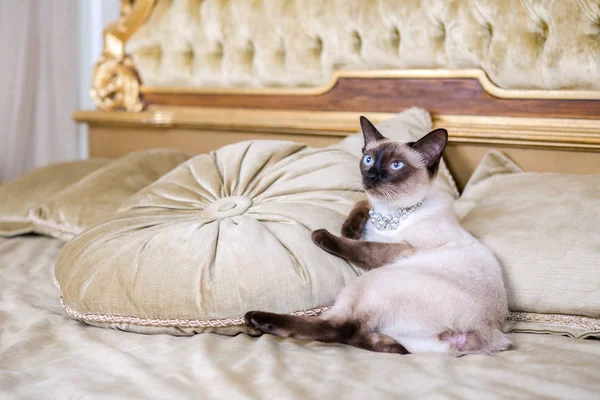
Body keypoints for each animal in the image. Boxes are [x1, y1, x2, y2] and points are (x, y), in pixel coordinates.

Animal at [244, 116, 510, 356]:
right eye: (368, 160)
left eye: (396, 166)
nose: (370, 176)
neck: (389, 214)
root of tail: (486, 333)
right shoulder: (371, 208)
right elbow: (362, 204)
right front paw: (350, 228)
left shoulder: (406, 248)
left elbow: (365, 247)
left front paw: (324, 236)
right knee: (372, 340)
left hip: (371, 282)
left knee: (339, 328)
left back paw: (256, 319)